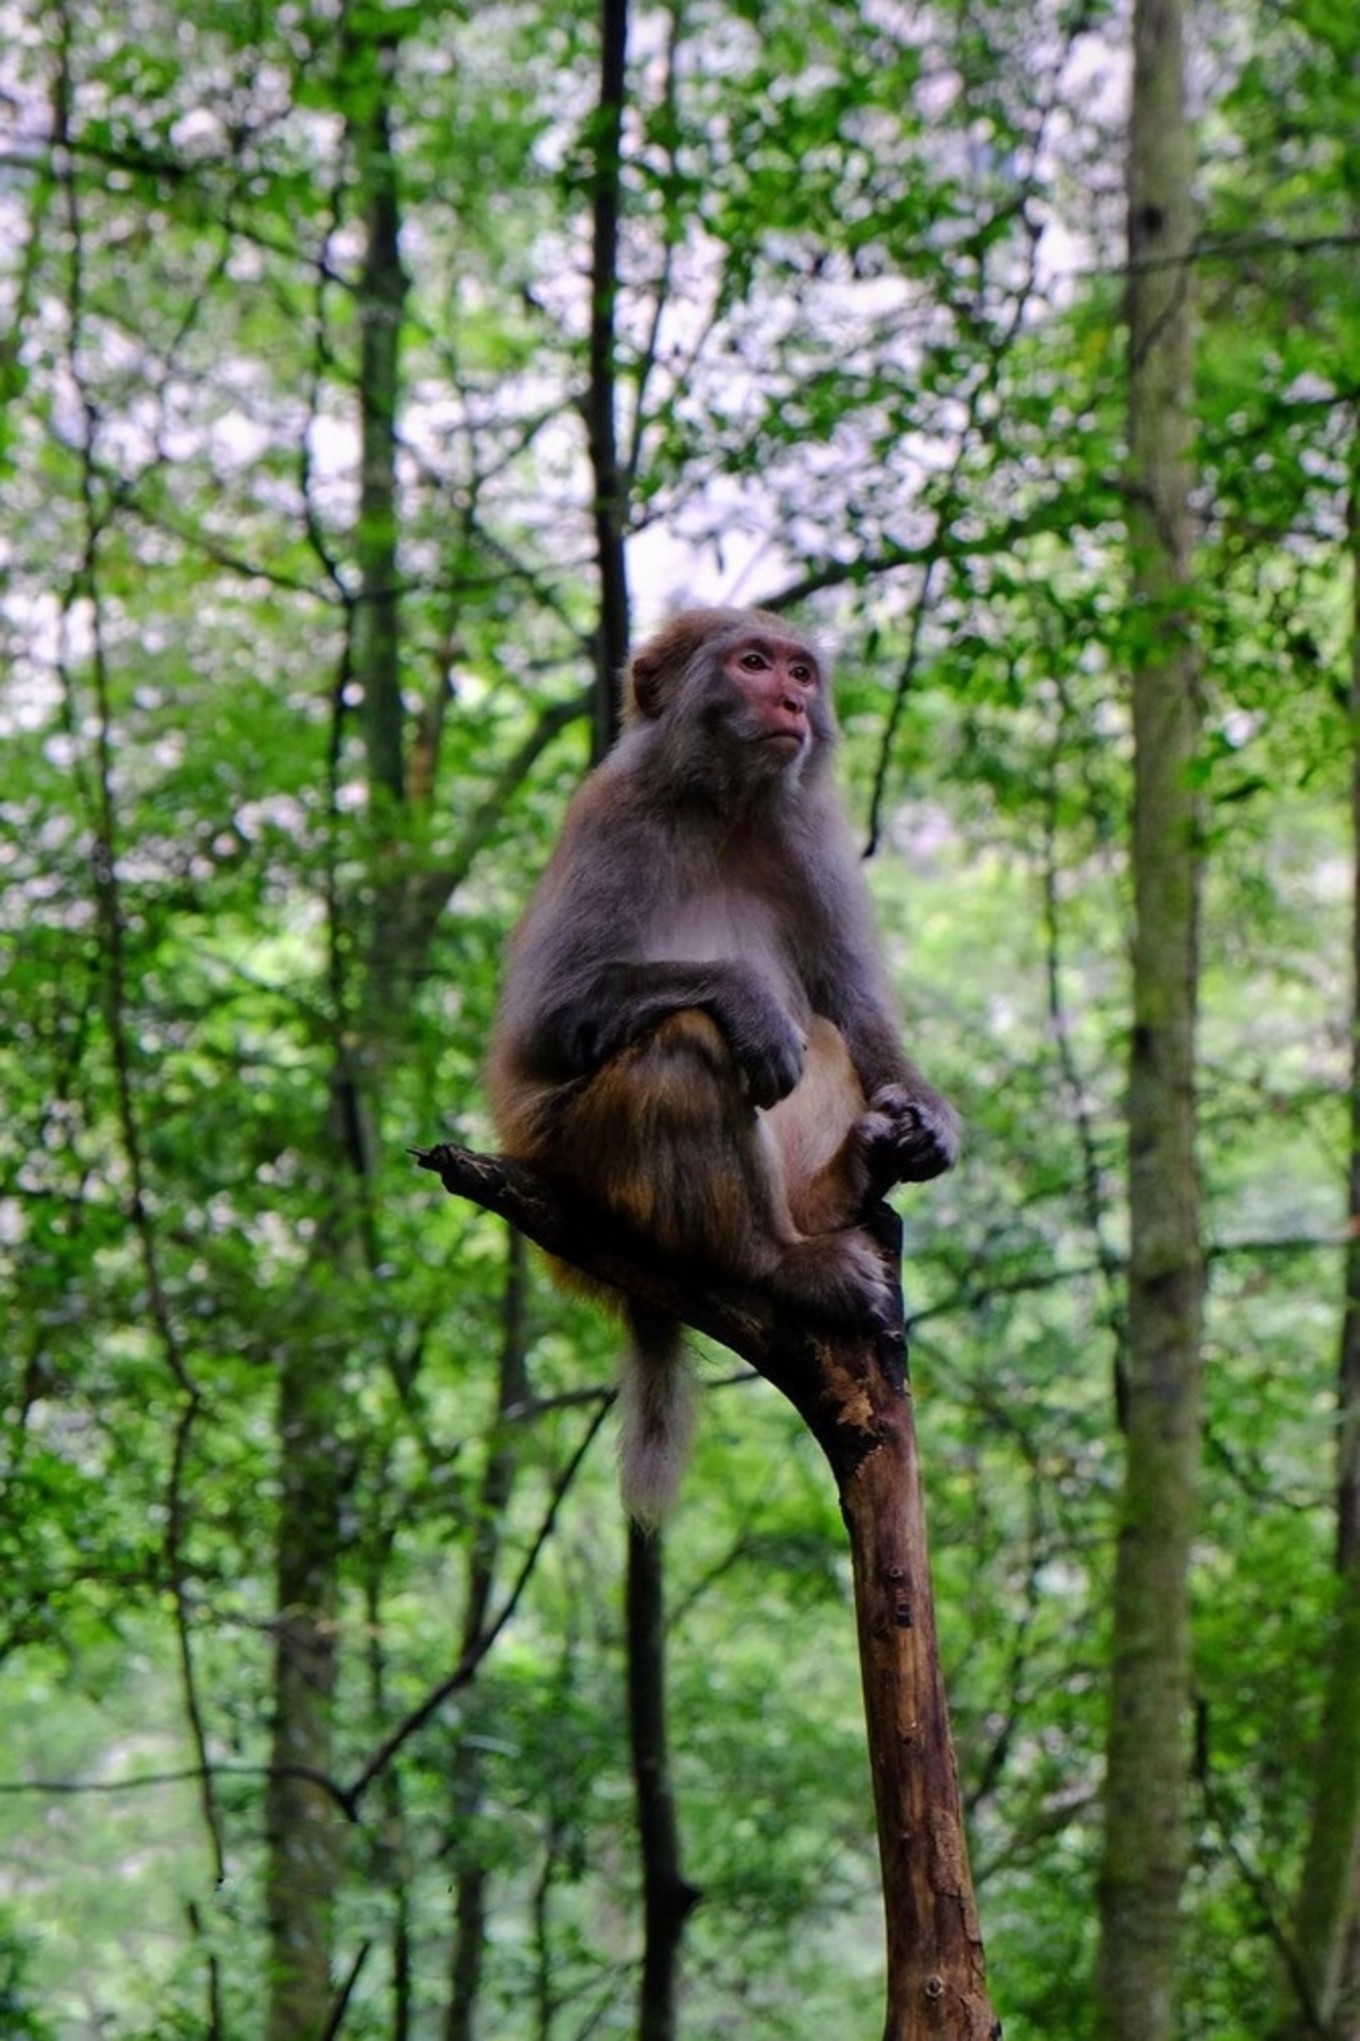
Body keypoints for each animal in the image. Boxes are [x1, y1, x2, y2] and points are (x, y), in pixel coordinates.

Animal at [483, 600, 951, 1518]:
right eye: (753, 663)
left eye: (800, 671)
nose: (791, 701)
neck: (726, 805)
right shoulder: (615, 818)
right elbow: (549, 1014)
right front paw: (749, 999)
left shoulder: (813, 838)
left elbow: (853, 1006)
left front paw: (929, 1119)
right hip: (579, 1165)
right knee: (688, 1044)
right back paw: (774, 1260)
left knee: (821, 1036)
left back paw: (842, 1183)